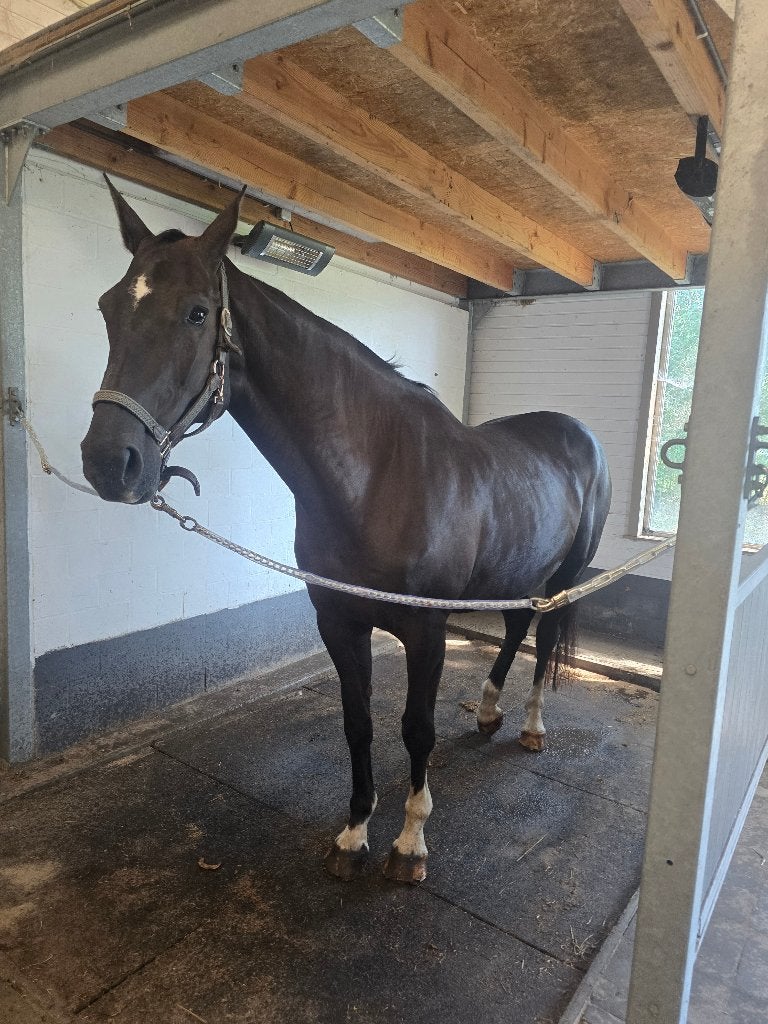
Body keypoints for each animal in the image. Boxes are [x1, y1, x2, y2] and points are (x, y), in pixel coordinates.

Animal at [81, 182, 611, 884]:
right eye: (108, 307)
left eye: (197, 313)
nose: (108, 463)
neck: (378, 476)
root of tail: (579, 433)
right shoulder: (338, 620)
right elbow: (357, 723)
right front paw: (355, 833)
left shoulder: (426, 629)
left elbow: (416, 729)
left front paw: (410, 844)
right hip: (517, 569)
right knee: (519, 625)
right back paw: (489, 711)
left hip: (565, 574)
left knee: (545, 633)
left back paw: (530, 726)